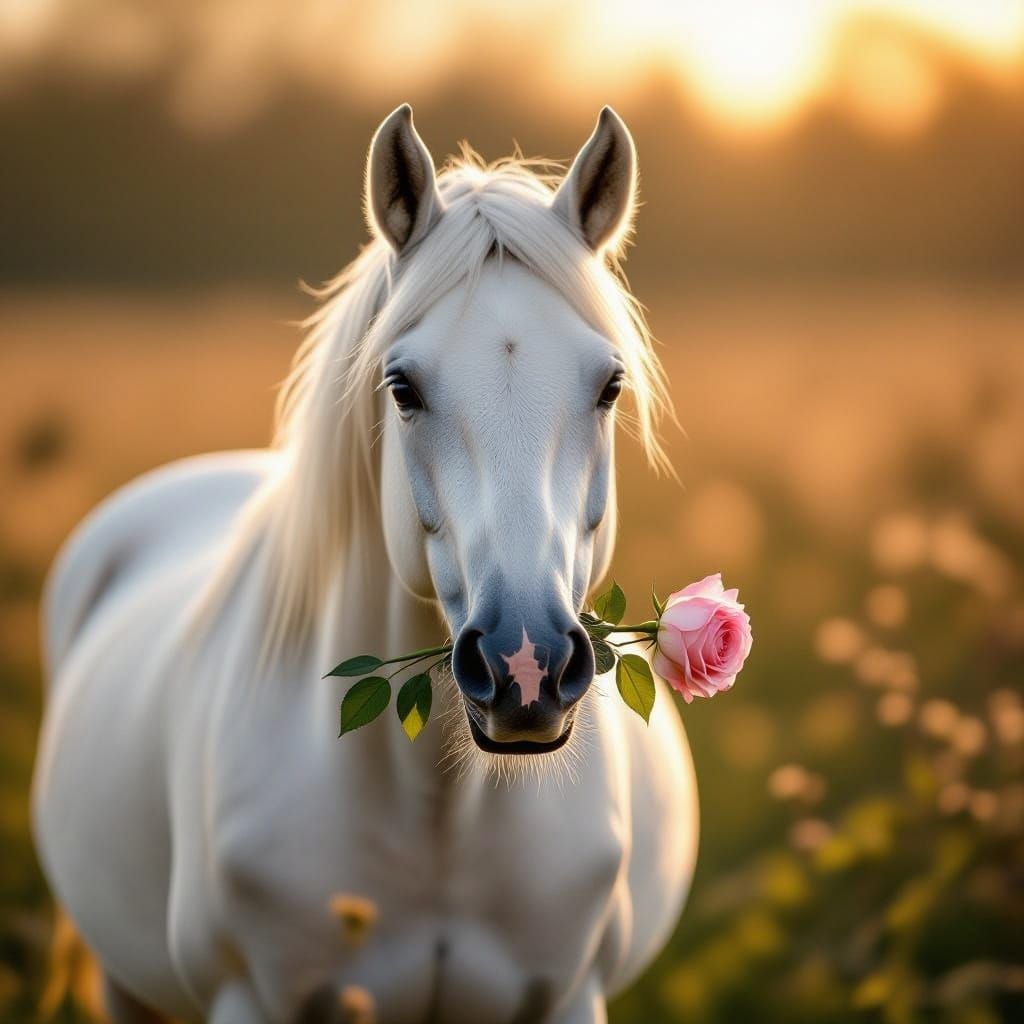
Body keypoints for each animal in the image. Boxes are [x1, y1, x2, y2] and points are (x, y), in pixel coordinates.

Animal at [32, 105, 698, 1024]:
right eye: (403, 388)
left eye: (609, 386)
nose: (525, 665)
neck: (441, 817)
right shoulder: (248, 996)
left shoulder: (568, 998)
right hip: (124, 982)